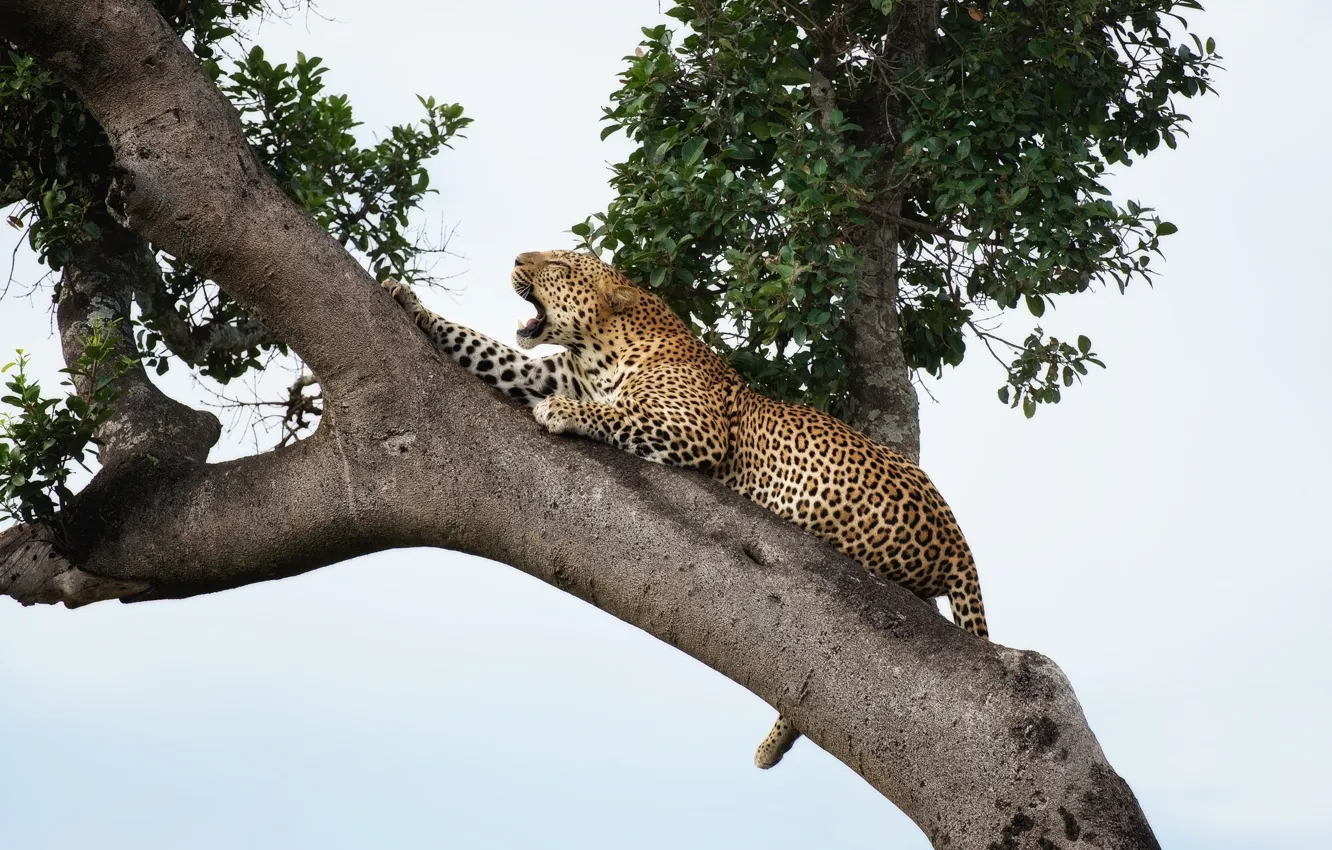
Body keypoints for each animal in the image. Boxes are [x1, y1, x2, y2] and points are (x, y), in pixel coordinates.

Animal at [383, 249, 989, 769]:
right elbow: (487, 349)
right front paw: (408, 300)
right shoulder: (538, 371)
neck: (600, 350)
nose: (516, 257)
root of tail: (958, 542)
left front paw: (563, 413)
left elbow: (616, 414)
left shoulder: (694, 429)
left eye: (557, 264)